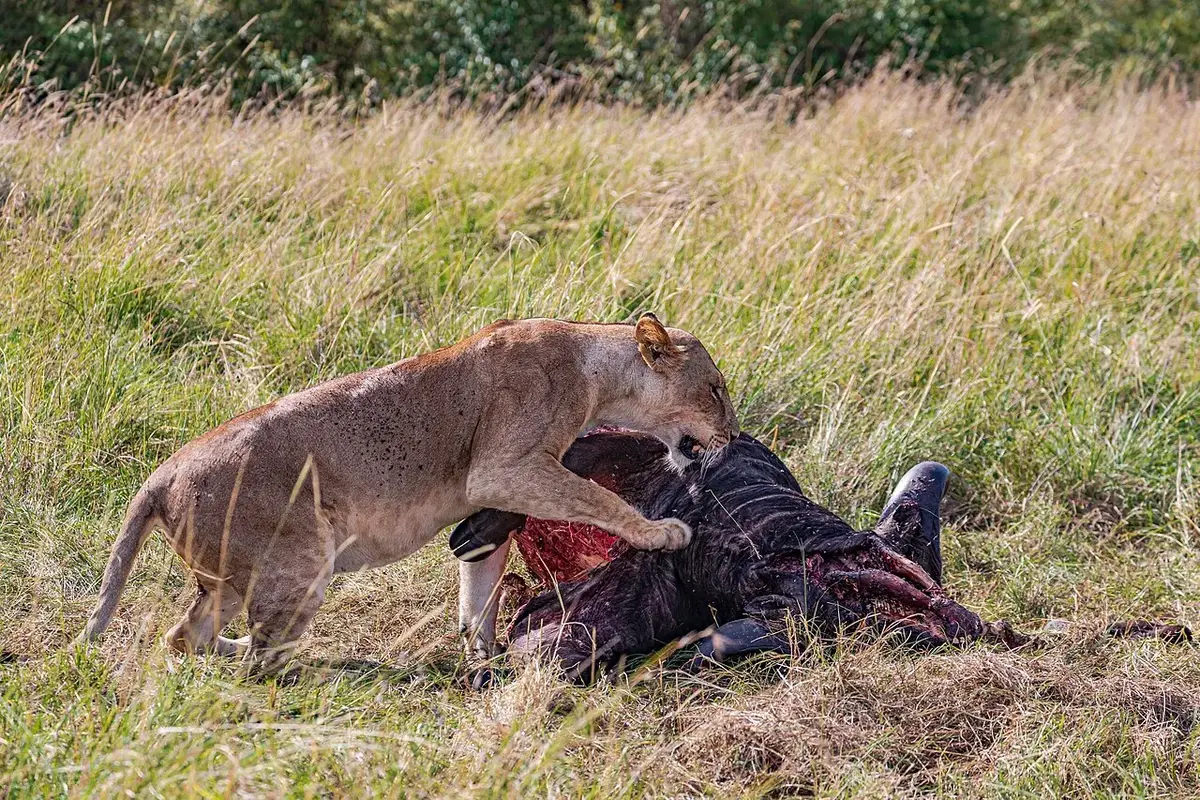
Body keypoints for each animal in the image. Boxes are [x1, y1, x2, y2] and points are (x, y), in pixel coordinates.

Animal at [80, 314, 738, 672]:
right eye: (715, 388)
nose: (733, 436)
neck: (595, 365)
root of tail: (159, 477)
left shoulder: (496, 501)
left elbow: (479, 589)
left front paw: (482, 656)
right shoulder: (504, 468)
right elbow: (600, 500)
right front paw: (661, 532)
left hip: (229, 576)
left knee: (186, 634)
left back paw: (232, 647)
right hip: (300, 559)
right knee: (261, 660)